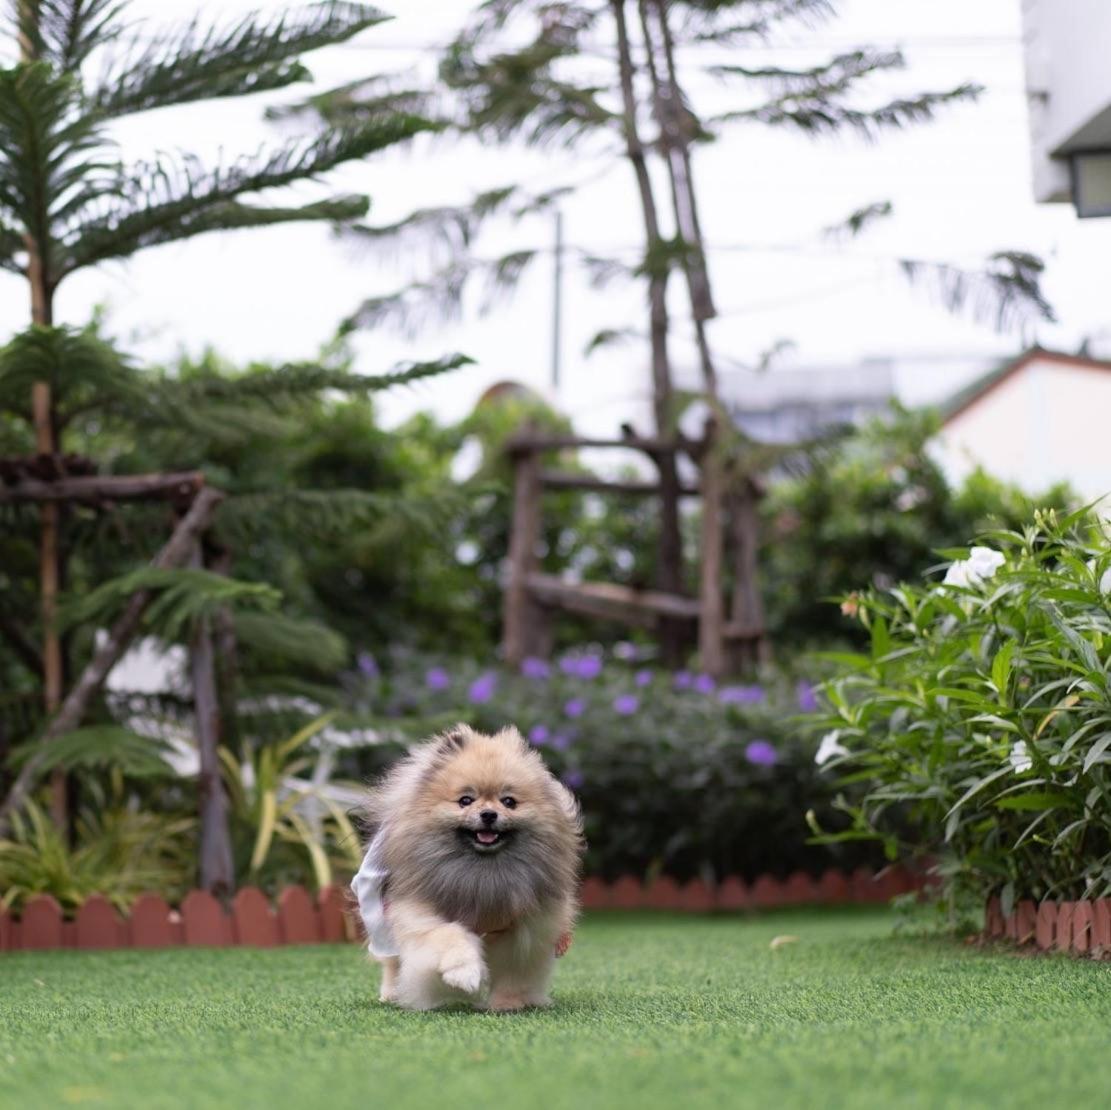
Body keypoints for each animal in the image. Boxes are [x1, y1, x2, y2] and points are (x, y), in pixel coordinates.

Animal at [355, 724, 586, 1013]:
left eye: (509, 802)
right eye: (465, 800)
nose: (488, 814)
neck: (482, 871)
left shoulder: (523, 933)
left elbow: (513, 974)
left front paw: (507, 1004)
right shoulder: (421, 915)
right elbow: (449, 937)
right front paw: (464, 975)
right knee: (392, 963)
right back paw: (392, 994)